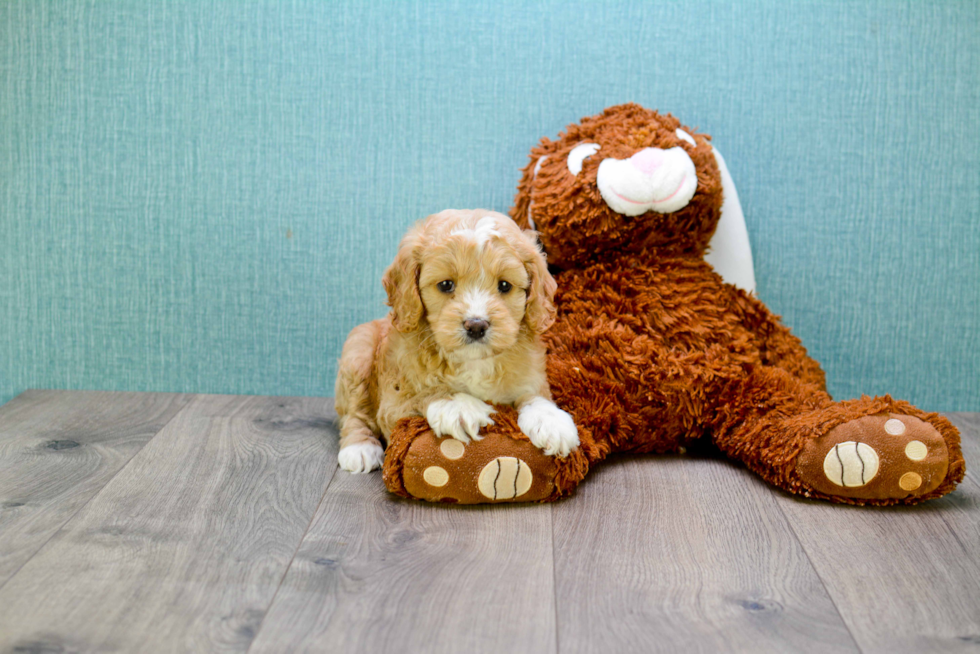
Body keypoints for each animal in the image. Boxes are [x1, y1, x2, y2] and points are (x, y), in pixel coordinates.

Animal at [336, 210, 580, 472]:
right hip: (358, 352)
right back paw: (360, 448)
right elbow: (421, 394)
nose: (476, 325)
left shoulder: (530, 374)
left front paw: (551, 420)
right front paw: (458, 405)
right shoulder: (392, 403)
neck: (473, 361)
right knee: (354, 412)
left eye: (504, 285)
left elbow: (535, 394)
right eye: (446, 285)